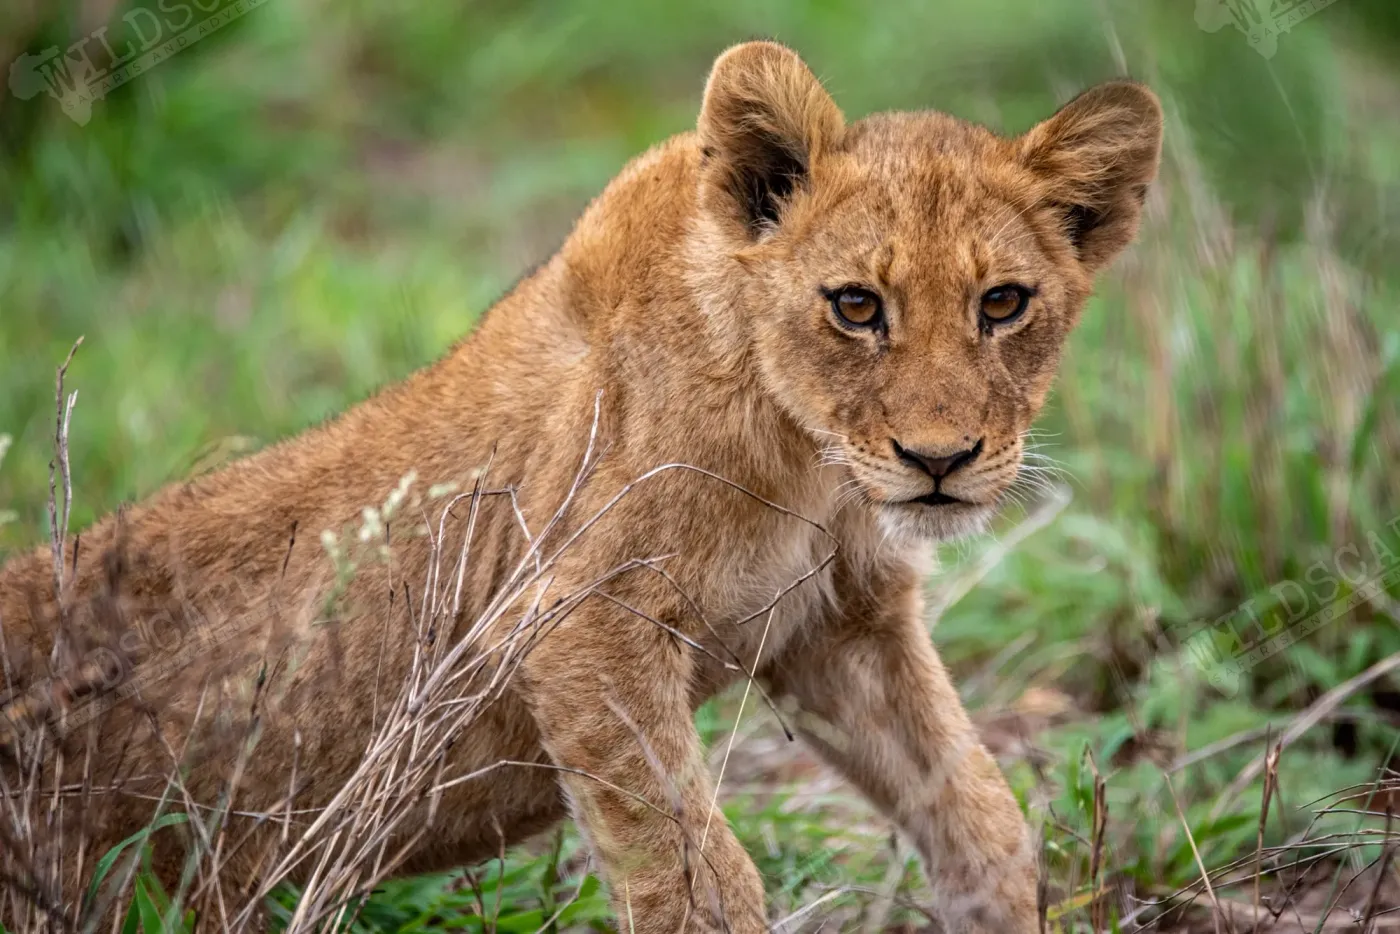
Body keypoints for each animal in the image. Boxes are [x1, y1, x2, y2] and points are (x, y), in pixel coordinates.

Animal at [0, 41, 1161, 933]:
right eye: (855, 305)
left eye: (1003, 302)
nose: (939, 459)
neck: (807, 460)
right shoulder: (577, 623)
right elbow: (700, 882)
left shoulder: (844, 623)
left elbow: (977, 812)